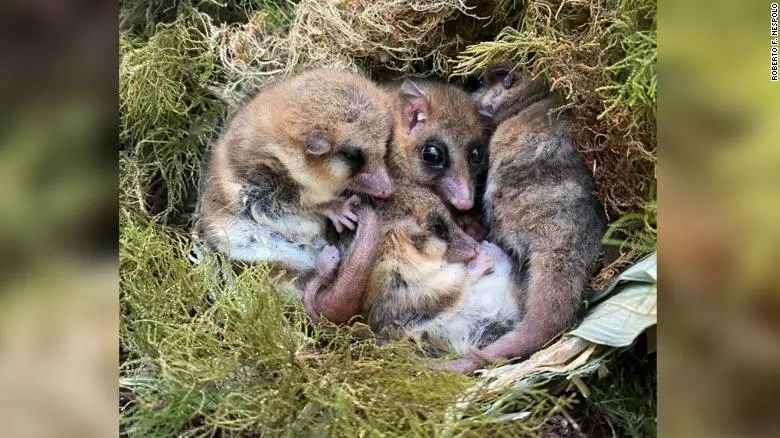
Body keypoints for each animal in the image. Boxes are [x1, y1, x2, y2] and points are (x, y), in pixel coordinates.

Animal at [199, 68, 395, 324]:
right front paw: (340, 209)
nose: (388, 190)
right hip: (259, 246)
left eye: (385, 144)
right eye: (350, 156)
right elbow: (298, 204)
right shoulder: (261, 190)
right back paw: (325, 260)